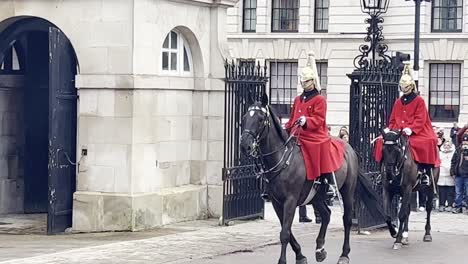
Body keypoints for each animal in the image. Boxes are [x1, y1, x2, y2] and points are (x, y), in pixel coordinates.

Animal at [241, 95, 394, 264]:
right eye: (244, 118)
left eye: (261, 119)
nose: (244, 145)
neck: (283, 159)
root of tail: (350, 149)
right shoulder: (276, 202)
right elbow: (286, 230)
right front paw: (300, 255)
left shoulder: (290, 200)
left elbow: (285, 233)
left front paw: (283, 260)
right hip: (317, 196)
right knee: (326, 214)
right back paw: (320, 249)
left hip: (347, 192)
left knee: (346, 219)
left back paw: (344, 254)